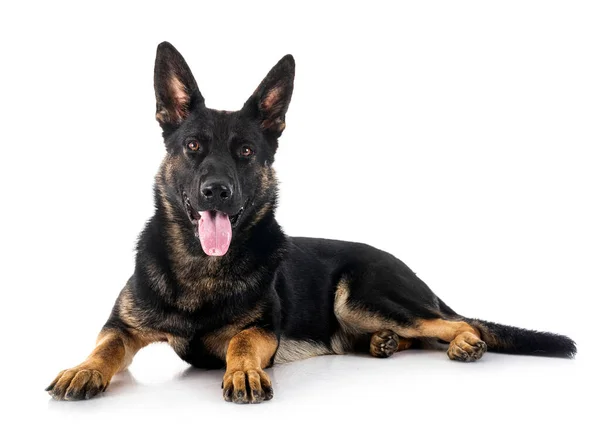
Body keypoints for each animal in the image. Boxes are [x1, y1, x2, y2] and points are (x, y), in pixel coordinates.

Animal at [45, 42, 576, 404]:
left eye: (245, 152)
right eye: (193, 146)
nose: (217, 190)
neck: (201, 267)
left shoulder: (262, 331)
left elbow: (240, 341)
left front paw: (242, 372)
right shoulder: (121, 325)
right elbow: (105, 346)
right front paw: (82, 369)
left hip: (365, 296)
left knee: (454, 321)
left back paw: (464, 342)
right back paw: (385, 344)